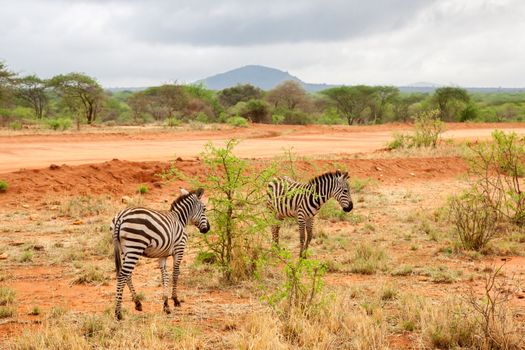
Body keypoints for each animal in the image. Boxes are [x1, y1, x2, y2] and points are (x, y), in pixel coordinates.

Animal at [110, 189, 209, 320]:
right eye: (204, 209)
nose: (207, 229)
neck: (180, 219)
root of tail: (120, 217)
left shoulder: (163, 255)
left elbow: (164, 276)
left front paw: (166, 304)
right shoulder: (179, 248)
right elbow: (175, 274)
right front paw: (175, 300)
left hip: (124, 250)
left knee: (127, 275)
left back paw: (137, 303)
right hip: (135, 247)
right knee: (122, 275)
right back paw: (118, 313)